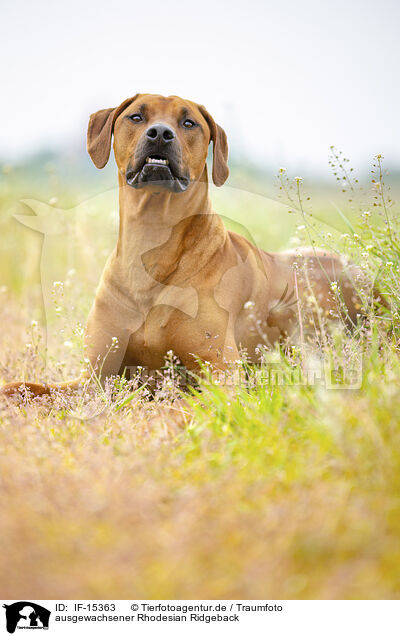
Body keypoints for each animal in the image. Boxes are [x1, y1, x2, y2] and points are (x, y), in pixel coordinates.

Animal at [0, 93, 366, 398]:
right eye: (136, 116)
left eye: (189, 123)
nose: (160, 133)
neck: (152, 243)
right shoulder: (93, 377)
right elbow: (25, 387)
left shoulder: (221, 371)